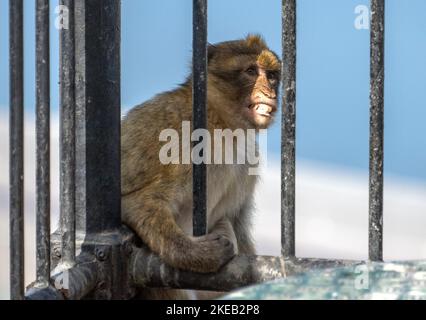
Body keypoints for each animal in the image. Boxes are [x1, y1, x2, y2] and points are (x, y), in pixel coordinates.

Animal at [120, 33, 280, 298]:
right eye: (250, 71)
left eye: (272, 75)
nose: (271, 92)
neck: (221, 122)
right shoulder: (185, 144)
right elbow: (137, 203)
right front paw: (203, 256)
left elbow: (234, 220)